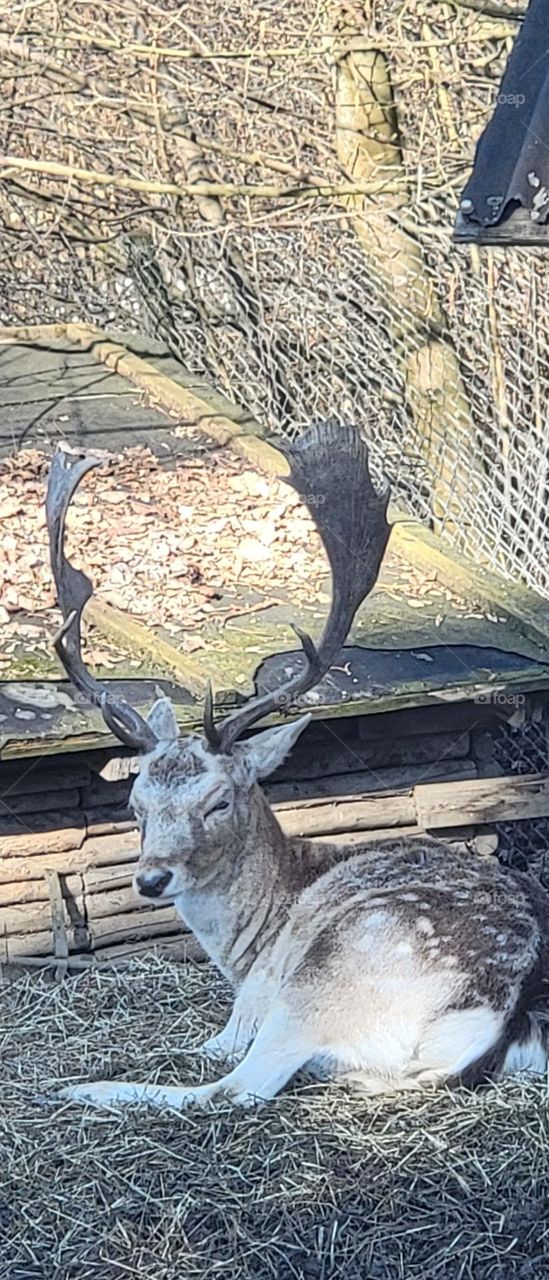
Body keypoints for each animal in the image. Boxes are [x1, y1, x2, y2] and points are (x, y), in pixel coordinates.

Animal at [46, 421, 549, 1110]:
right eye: (134, 805)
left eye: (219, 801)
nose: (151, 879)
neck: (249, 940)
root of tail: (507, 1010)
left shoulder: (255, 997)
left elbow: (216, 1051)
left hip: (321, 976)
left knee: (235, 1087)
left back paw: (85, 1088)